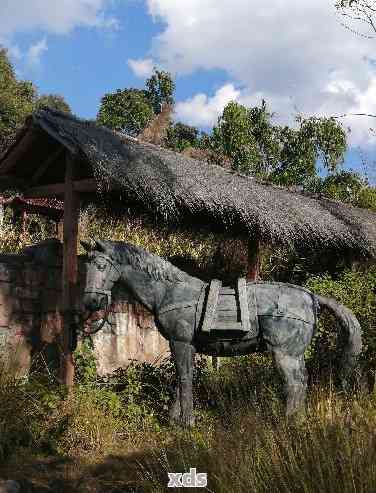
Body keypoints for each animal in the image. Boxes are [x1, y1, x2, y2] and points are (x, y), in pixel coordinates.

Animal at [81, 238, 362, 426]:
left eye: (101, 265)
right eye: (87, 265)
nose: (91, 302)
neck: (169, 292)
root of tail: (311, 297)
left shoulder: (181, 342)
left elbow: (185, 378)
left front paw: (186, 422)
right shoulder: (183, 345)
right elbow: (180, 379)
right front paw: (174, 419)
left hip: (285, 354)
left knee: (294, 384)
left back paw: (289, 423)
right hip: (295, 354)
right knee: (301, 381)